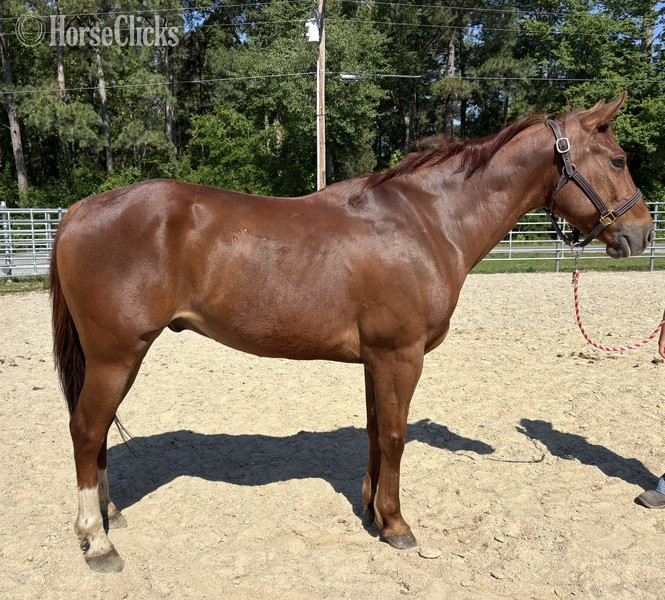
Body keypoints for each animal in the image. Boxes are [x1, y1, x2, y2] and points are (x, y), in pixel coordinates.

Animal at [50, 93, 654, 572]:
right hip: (117, 355)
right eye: (619, 159)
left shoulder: (376, 359)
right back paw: (97, 542)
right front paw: (398, 526)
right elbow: (395, 436)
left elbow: (374, 432)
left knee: (97, 435)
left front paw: (372, 513)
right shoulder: (401, 355)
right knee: (85, 429)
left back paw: (109, 515)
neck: (428, 221)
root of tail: (78, 210)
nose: (642, 233)